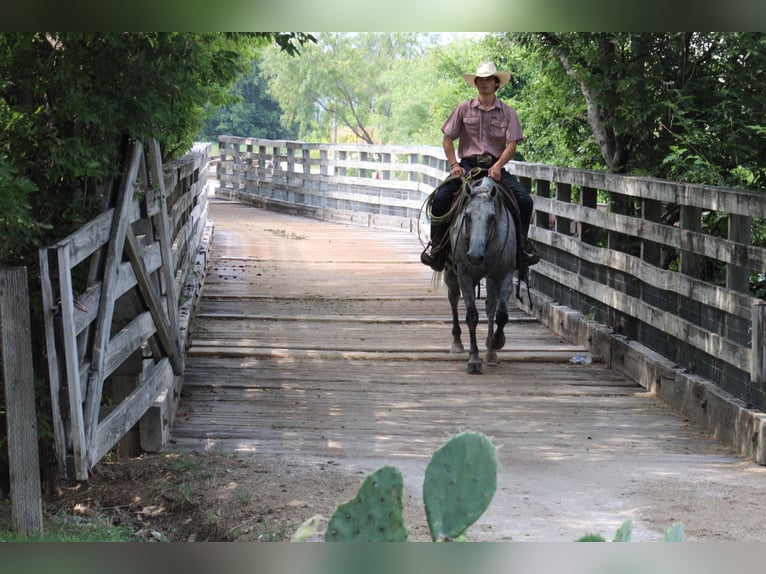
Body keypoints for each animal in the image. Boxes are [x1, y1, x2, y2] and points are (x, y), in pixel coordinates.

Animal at [440, 178, 520, 376]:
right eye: (467, 216)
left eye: (492, 217)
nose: (475, 256)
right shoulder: (465, 277)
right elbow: (472, 316)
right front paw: (474, 359)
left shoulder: (504, 274)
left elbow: (501, 314)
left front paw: (497, 341)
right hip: (451, 272)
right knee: (453, 298)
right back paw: (457, 343)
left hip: (490, 278)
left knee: (491, 306)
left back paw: (491, 353)